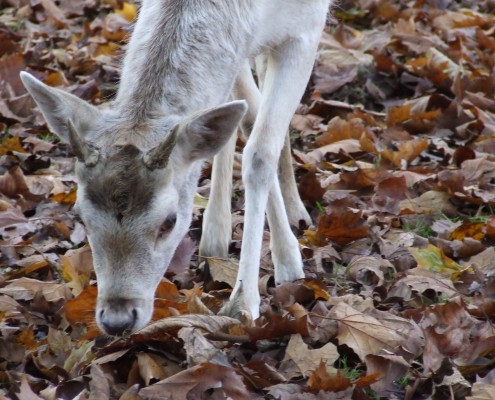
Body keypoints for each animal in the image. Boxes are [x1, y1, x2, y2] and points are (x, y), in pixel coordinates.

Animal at [22, 0, 334, 336]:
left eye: (169, 222)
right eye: (80, 217)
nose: (118, 320)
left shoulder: (307, 28)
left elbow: (260, 152)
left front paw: (253, 294)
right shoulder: (240, 44)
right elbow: (246, 117)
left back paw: (295, 214)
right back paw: (215, 235)